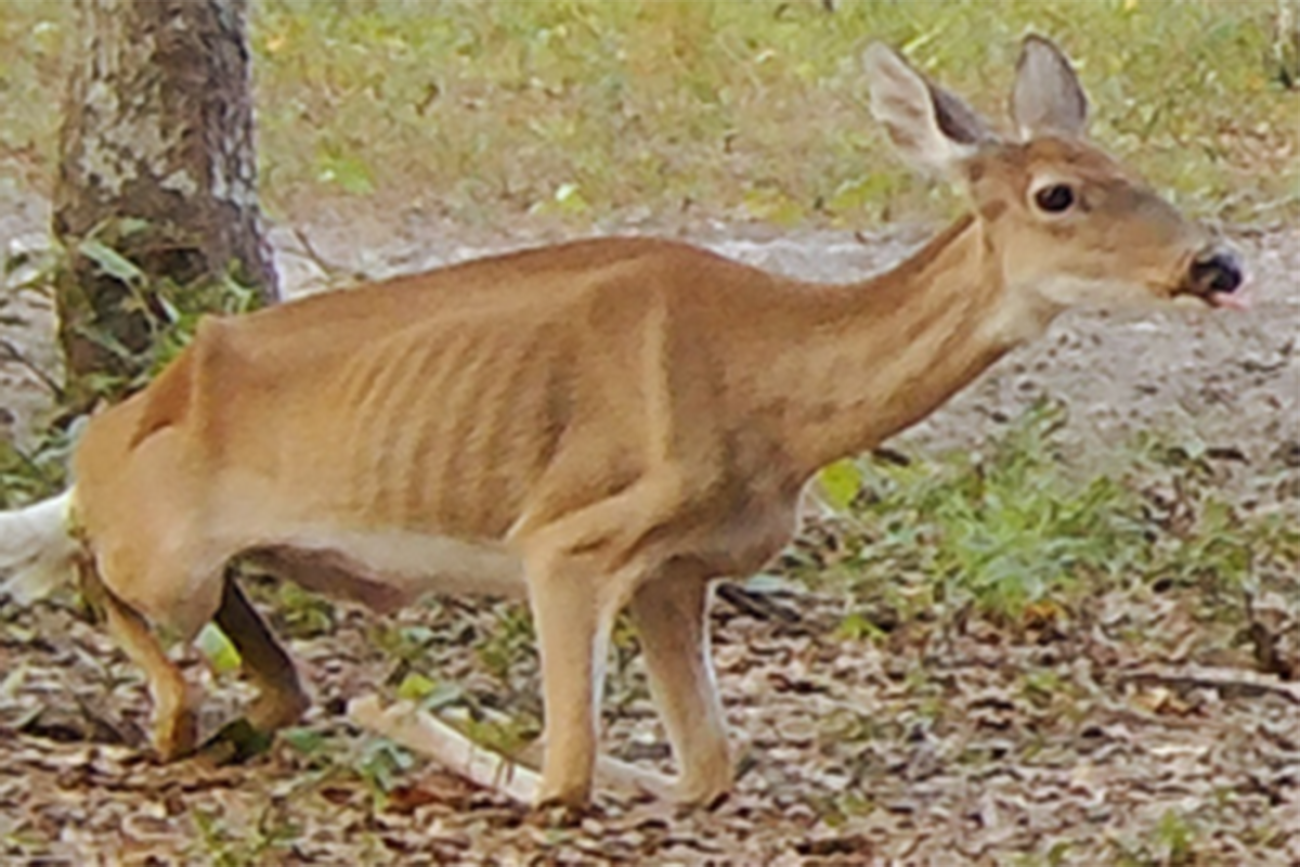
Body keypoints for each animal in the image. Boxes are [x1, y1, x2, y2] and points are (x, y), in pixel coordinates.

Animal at [0, 37, 1248, 816]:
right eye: (1056, 195)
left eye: (1131, 168)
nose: (1217, 262)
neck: (775, 396)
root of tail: (127, 424)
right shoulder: (567, 536)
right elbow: (568, 771)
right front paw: (399, 710)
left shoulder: (678, 567)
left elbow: (704, 766)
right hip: (164, 552)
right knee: (97, 562)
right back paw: (184, 713)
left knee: (244, 651)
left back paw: (234, 712)